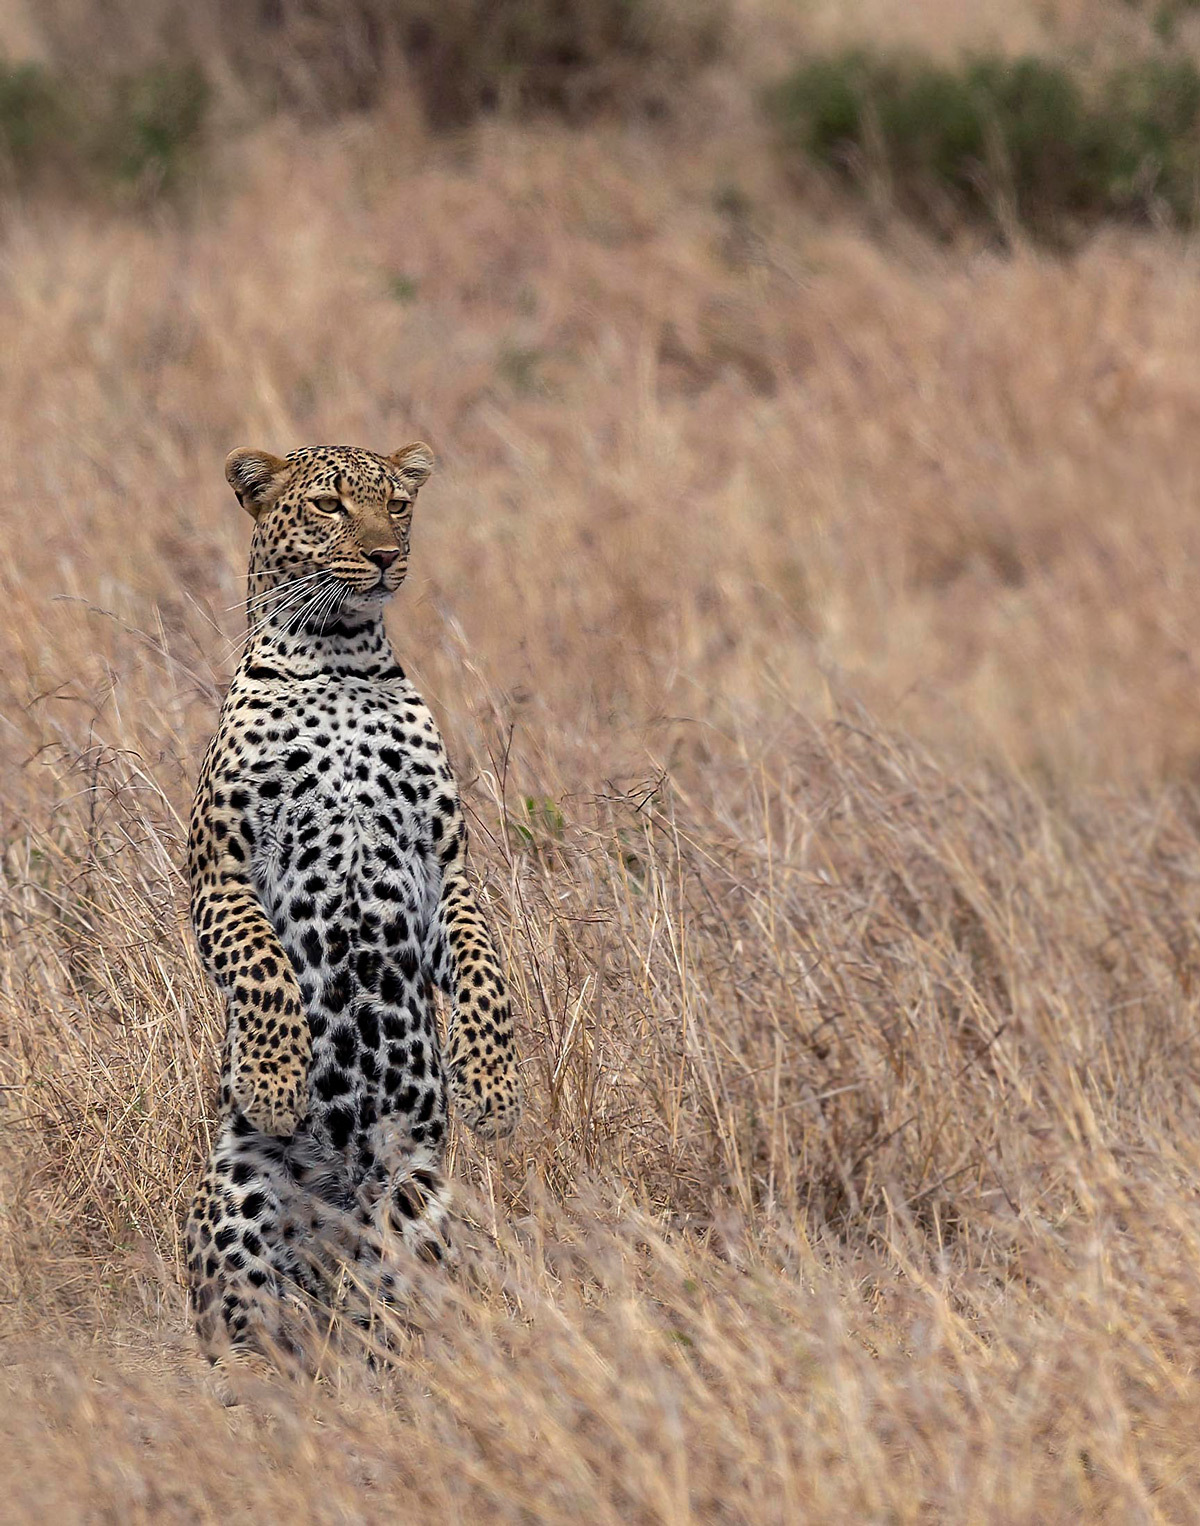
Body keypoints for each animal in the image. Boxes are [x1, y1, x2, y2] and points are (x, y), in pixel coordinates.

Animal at [183, 436, 519, 1367]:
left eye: (397, 505)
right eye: (330, 505)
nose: (382, 556)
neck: (337, 658)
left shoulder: (445, 866)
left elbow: (486, 971)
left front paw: (493, 1088)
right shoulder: (219, 867)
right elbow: (261, 966)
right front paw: (270, 1081)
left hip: (417, 1207)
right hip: (236, 1203)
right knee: (244, 1327)